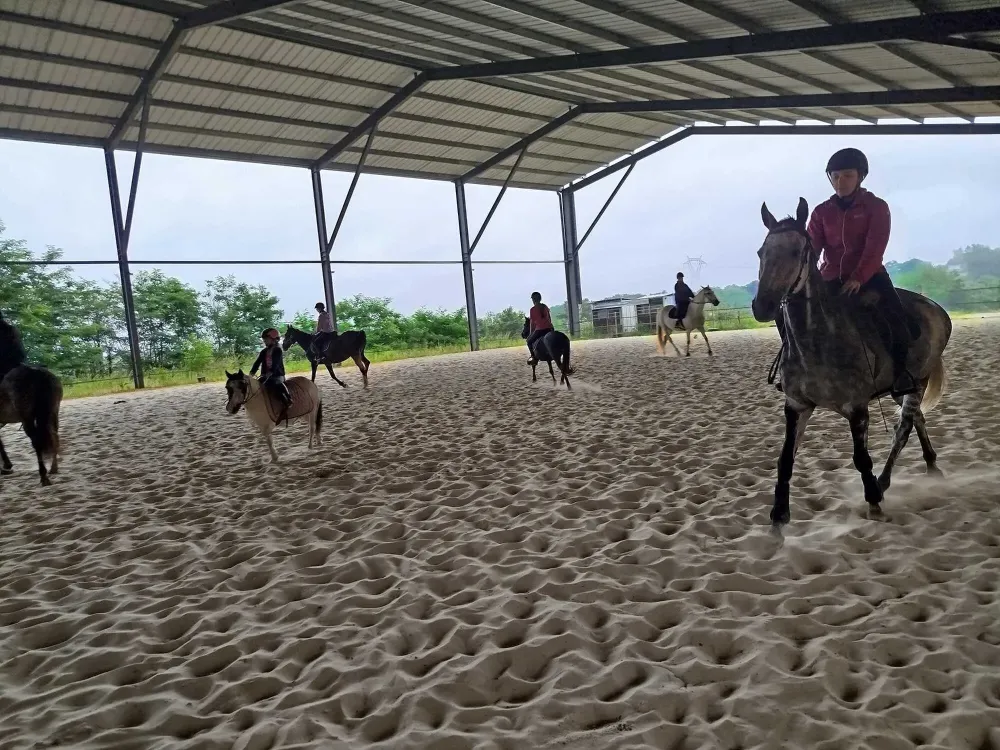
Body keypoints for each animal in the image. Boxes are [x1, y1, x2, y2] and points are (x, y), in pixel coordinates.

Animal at [0, 315, 63, 486]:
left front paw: (6, 466)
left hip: (27, 417)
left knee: (37, 441)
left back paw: (44, 476)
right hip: (52, 413)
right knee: (54, 436)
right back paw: (53, 469)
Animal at [752, 198, 952, 535]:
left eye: (797, 252)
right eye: (760, 252)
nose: (762, 306)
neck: (818, 340)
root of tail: (937, 308)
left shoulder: (857, 407)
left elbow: (861, 458)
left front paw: (873, 502)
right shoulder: (796, 406)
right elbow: (785, 459)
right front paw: (779, 516)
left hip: (919, 380)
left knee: (903, 429)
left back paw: (883, 483)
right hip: (901, 389)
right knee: (918, 421)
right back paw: (931, 465)